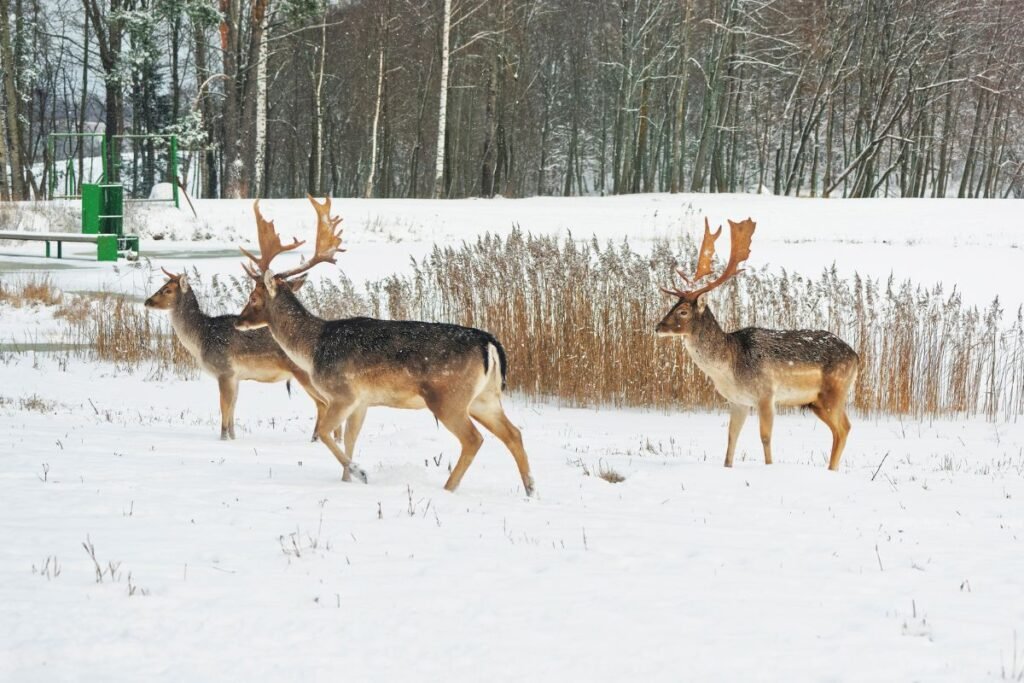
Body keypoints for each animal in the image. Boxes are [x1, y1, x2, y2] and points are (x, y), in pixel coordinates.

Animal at [143, 266, 335, 444]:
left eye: (167, 290)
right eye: (163, 285)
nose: (147, 301)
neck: (200, 340)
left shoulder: (224, 370)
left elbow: (224, 406)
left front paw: (223, 438)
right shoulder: (235, 376)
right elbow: (233, 407)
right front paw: (233, 437)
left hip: (305, 374)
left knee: (323, 404)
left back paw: (316, 439)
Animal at [234, 194, 536, 493]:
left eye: (253, 297)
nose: (238, 321)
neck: (313, 348)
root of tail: (490, 344)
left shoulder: (343, 393)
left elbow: (324, 432)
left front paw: (360, 472)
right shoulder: (362, 401)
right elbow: (350, 439)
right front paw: (347, 480)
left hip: (448, 396)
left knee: (474, 439)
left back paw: (449, 488)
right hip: (485, 398)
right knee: (514, 433)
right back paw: (530, 489)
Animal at [651, 218, 860, 471]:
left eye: (682, 311)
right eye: (672, 306)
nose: (658, 326)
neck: (729, 368)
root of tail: (857, 356)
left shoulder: (766, 393)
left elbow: (765, 437)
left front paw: (769, 467)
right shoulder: (738, 401)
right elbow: (731, 437)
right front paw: (727, 467)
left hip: (833, 392)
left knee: (843, 428)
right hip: (817, 402)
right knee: (842, 429)